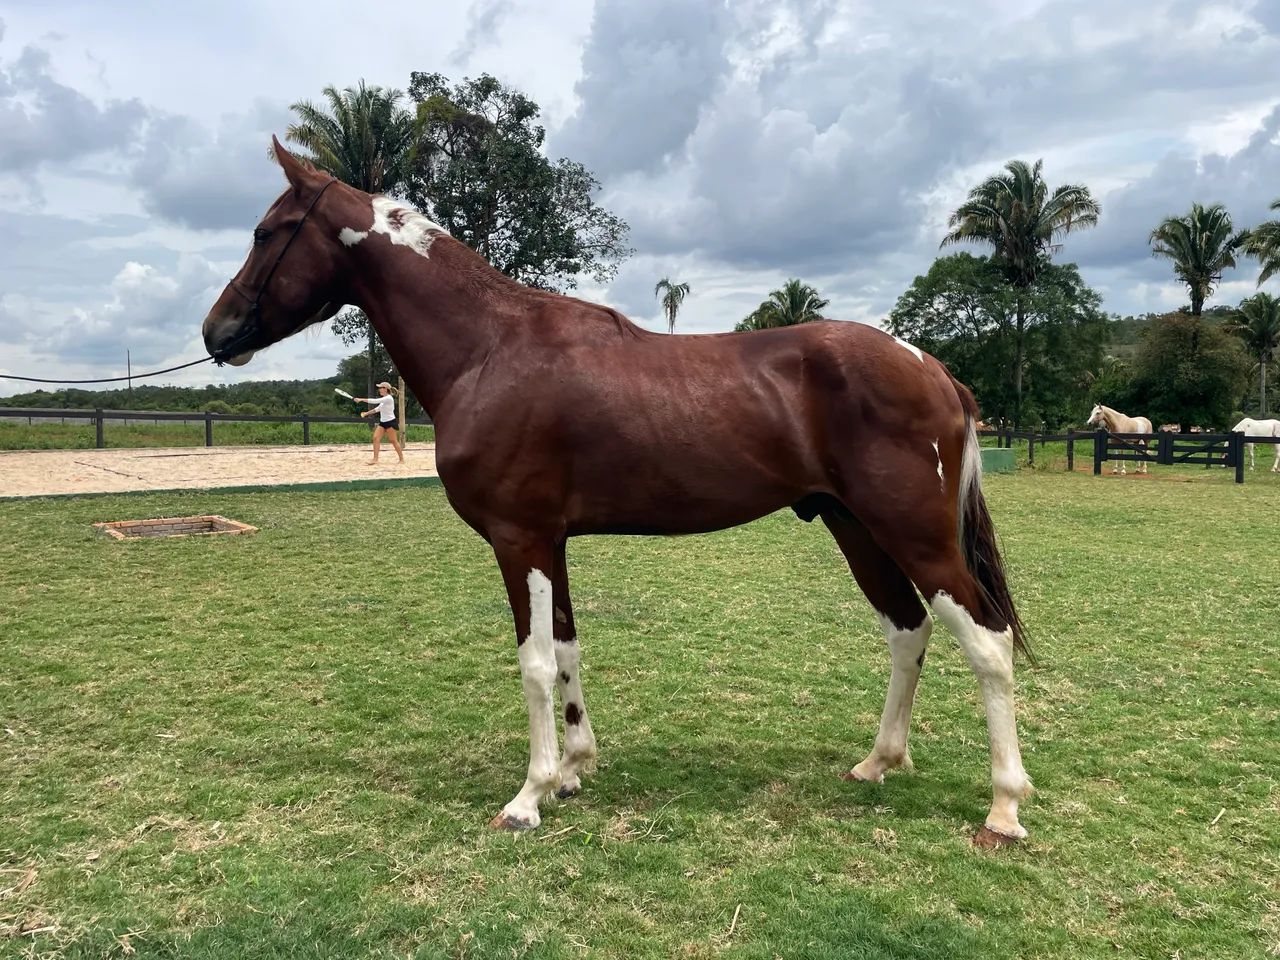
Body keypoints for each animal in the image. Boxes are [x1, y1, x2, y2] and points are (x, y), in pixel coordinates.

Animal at [200, 138, 1035, 846]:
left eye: (268, 232)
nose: (216, 332)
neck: (489, 349)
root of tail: (933, 368)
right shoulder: (552, 541)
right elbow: (567, 648)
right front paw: (573, 771)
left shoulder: (520, 538)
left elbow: (535, 661)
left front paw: (527, 797)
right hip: (855, 526)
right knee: (908, 630)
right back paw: (878, 762)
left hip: (914, 533)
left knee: (987, 642)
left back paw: (1003, 809)